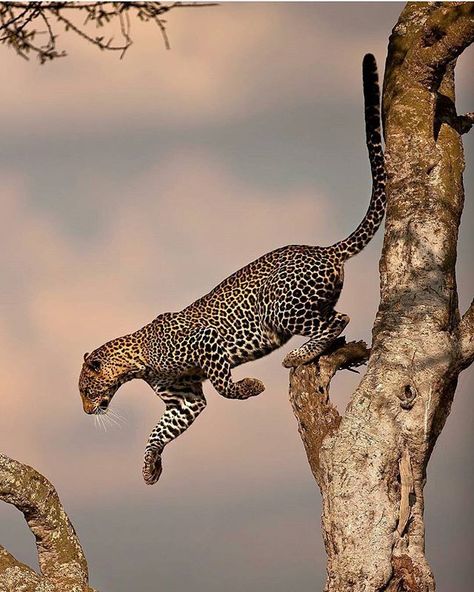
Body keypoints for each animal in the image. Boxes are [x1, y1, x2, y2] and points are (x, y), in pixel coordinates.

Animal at [79, 53, 386, 484]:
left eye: (86, 391)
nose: (87, 411)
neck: (137, 361)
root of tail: (325, 250)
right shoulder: (185, 400)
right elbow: (160, 431)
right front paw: (149, 467)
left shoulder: (208, 346)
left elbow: (226, 386)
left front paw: (253, 385)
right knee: (336, 323)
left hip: (283, 307)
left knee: (336, 320)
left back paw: (297, 355)